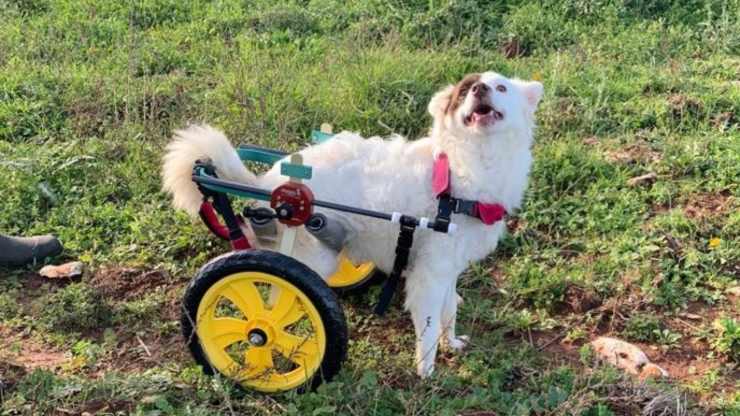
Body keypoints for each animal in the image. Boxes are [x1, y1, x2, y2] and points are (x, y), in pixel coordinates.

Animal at [162, 70, 544, 376]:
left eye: (500, 87)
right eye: (464, 93)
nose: (479, 89)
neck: (462, 169)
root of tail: (268, 184)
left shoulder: (448, 268)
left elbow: (449, 311)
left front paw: (452, 343)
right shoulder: (430, 274)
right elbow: (429, 325)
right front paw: (427, 370)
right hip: (308, 259)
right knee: (275, 302)